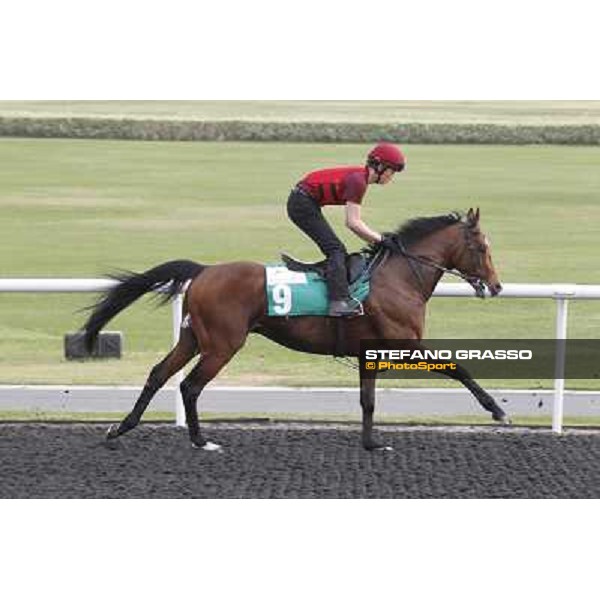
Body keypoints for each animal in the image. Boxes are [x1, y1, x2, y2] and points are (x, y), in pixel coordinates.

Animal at [82, 209, 508, 452]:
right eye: (482, 248)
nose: (497, 286)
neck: (399, 278)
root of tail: (204, 270)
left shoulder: (369, 353)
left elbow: (368, 401)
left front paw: (371, 444)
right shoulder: (406, 345)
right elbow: (458, 368)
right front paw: (498, 410)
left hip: (192, 338)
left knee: (159, 374)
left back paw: (120, 429)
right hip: (221, 344)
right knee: (190, 385)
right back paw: (200, 441)